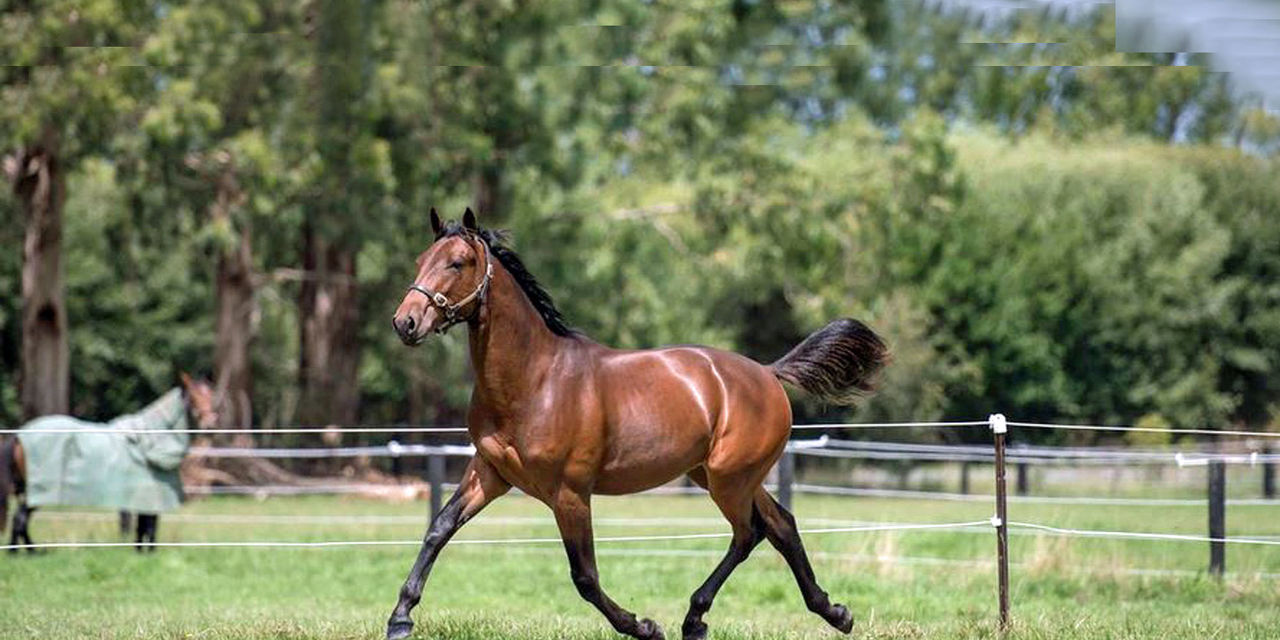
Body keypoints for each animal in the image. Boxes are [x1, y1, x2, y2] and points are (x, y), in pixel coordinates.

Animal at [1, 373, 219, 553]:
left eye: (211, 395)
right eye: (193, 397)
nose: (210, 424)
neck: (148, 439)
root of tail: (20, 435)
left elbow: (142, 524)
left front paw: (140, 551)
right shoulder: (150, 492)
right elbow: (148, 523)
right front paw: (148, 552)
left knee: (21, 520)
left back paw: (26, 551)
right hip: (38, 491)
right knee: (20, 519)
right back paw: (26, 552)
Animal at [387, 209, 889, 640]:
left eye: (458, 262)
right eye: (420, 261)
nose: (405, 322)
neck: (536, 380)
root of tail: (767, 373)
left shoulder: (569, 493)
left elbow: (585, 576)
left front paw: (643, 626)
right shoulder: (489, 473)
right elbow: (438, 529)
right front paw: (400, 619)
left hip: (730, 478)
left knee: (749, 532)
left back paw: (695, 618)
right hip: (717, 475)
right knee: (780, 525)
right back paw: (833, 612)